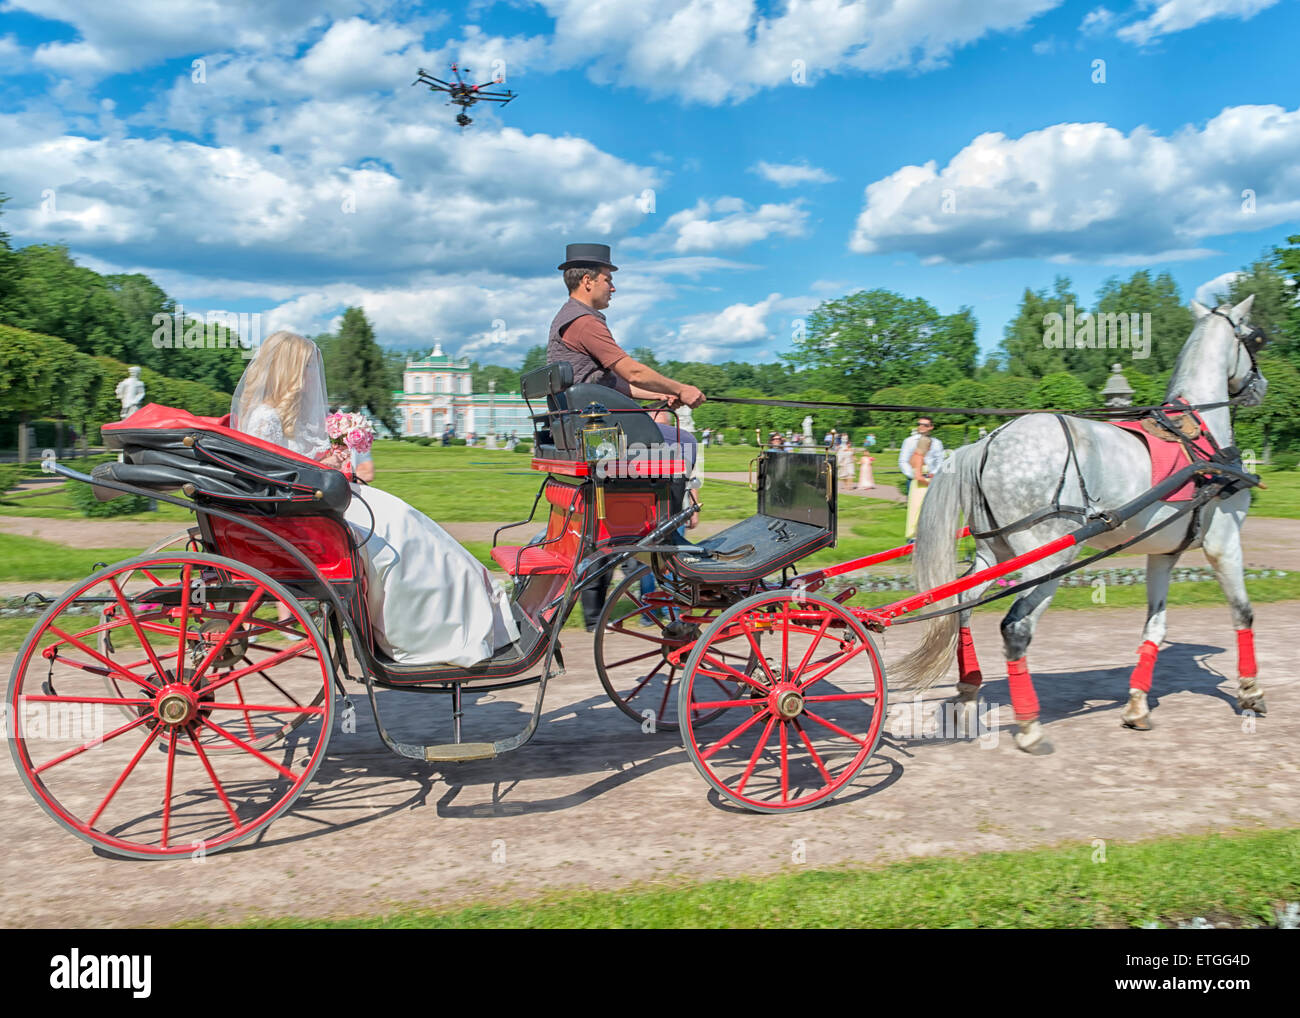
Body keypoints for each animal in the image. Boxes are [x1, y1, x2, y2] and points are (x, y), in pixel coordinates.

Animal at [899, 295, 1263, 748]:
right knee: (1016, 627)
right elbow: (1243, 613)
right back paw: (1029, 725)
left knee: (964, 606)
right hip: (1049, 557)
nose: (1260, 387)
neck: (1199, 434)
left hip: (994, 551)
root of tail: (988, 441)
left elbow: (1155, 627)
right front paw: (1250, 692)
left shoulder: (1162, 553)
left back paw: (968, 695)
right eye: (1257, 338)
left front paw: (1137, 704)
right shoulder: (1224, 541)